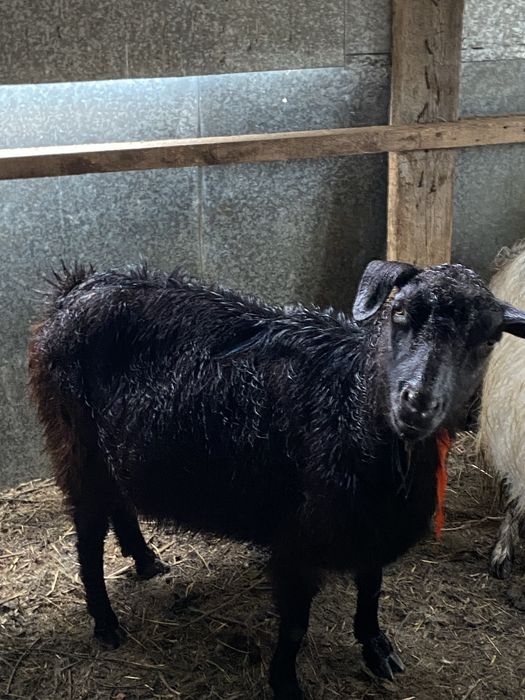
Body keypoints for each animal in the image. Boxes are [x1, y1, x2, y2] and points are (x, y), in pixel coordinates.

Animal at [29, 260, 525, 699]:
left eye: (488, 338)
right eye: (399, 312)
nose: (417, 402)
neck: (351, 406)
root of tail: (74, 289)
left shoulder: (369, 530)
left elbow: (371, 591)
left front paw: (377, 650)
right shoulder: (298, 542)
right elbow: (295, 627)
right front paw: (285, 684)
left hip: (114, 452)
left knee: (120, 504)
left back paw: (146, 560)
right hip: (77, 446)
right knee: (89, 535)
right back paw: (106, 622)